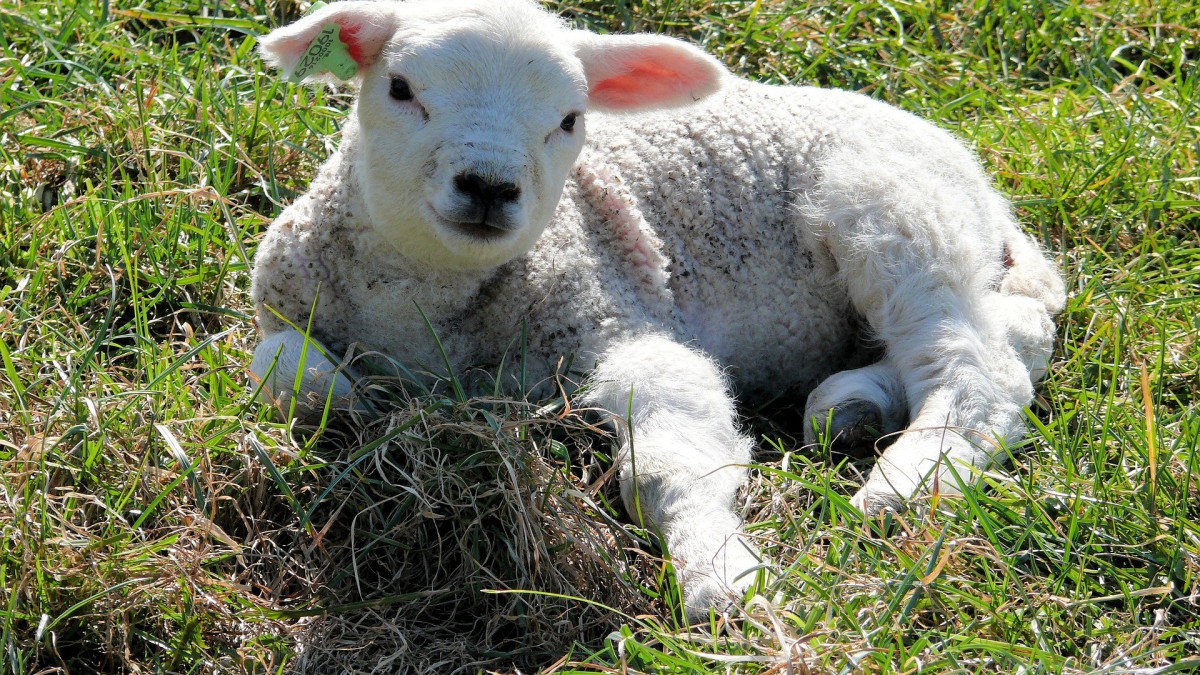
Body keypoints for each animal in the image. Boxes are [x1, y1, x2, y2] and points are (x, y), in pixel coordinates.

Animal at [248, 0, 1065, 619]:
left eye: (570, 119)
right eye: (400, 88)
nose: (488, 186)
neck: (426, 305)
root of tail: (980, 183)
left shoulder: (616, 314)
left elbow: (672, 456)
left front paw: (721, 578)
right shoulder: (282, 310)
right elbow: (288, 375)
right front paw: (357, 410)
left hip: (894, 214)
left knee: (979, 365)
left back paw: (903, 485)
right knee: (1014, 330)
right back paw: (854, 404)